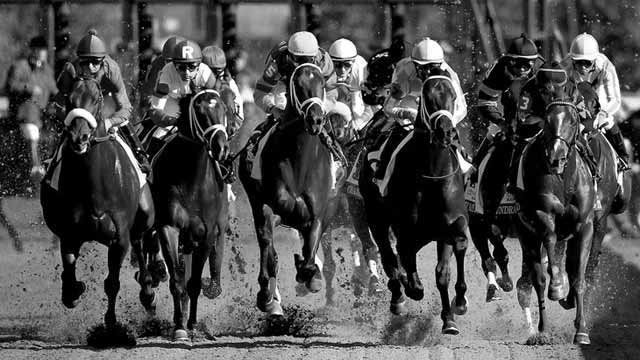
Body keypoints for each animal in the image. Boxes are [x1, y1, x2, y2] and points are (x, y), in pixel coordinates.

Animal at [41, 77, 155, 328]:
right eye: (69, 98)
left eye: (97, 99)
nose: (79, 138)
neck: (93, 185)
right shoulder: (69, 234)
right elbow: (69, 273)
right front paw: (75, 291)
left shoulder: (119, 238)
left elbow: (112, 282)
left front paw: (111, 324)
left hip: (144, 215)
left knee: (140, 243)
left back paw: (148, 293)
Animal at [149, 88, 230, 338]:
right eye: (200, 112)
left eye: (224, 109)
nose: (222, 148)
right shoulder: (169, 228)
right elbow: (177, 280)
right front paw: (179, 327)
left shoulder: (206, 233)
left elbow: (194, 283)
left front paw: (192, 324)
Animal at [239, 63, 340, 316]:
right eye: (298, 85)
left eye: (322, 83)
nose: (316, 120)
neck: (300, 162)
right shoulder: (270, 208)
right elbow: (270, 254)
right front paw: (267, 296)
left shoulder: (317, 215)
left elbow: (310, 253)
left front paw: (310, 276)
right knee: (269, 250)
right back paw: (271, 298)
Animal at [360, 68, 470, 334]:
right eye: (427, 97)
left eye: (453, 95)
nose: (446, 132)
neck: (433, 174)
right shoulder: (406, 231)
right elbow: (406, 267)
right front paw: (412, 289)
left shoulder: (450, 225)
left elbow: (445, 270)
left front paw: (453, 313)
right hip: (375, 216)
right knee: (389, 257)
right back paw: (398, 298)